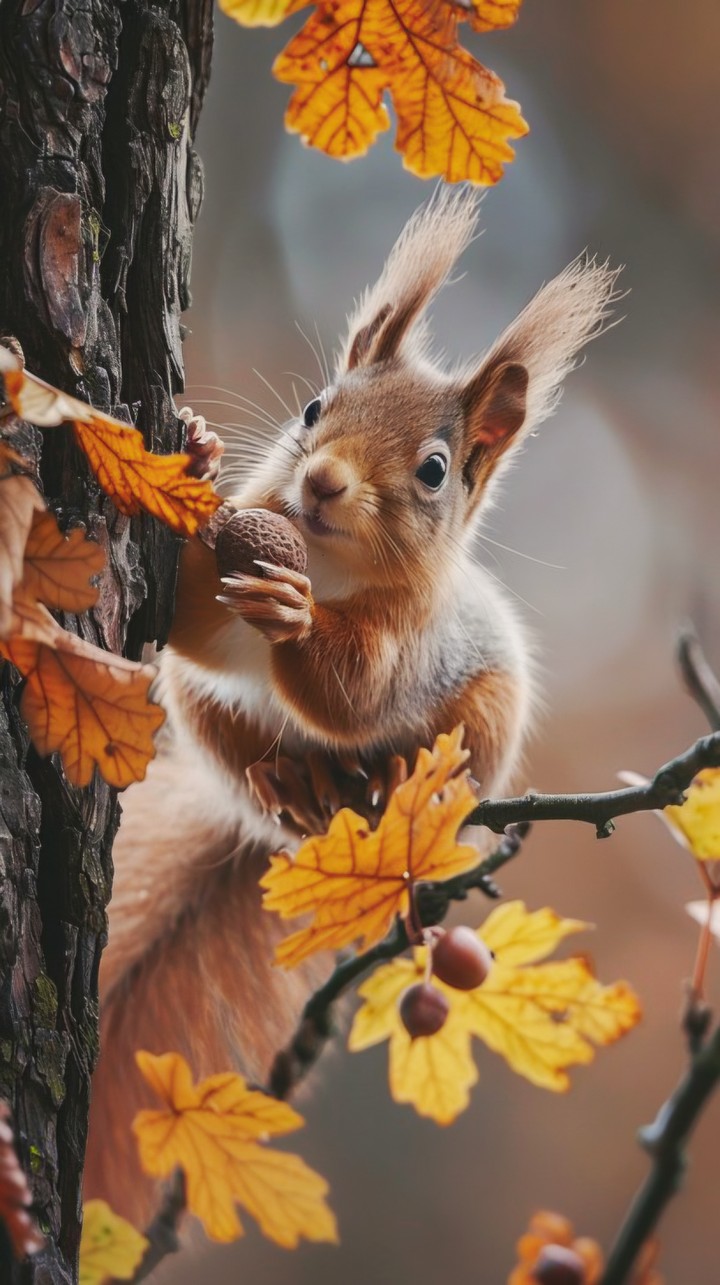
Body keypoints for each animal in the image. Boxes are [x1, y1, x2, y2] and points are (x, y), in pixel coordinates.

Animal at [84, 190, 618, 1222]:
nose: (323, 480)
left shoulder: (405, 643)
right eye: (314, 407)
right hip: (205, 717)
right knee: (254, 753)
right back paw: (288, 779)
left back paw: (387, 778)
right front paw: (199, 453)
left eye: (436, 469)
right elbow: (194, 623)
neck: (325, 564)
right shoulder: (217, 608)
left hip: (481, 725)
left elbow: (352, 693)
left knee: (405, 760)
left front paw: (297, 622)